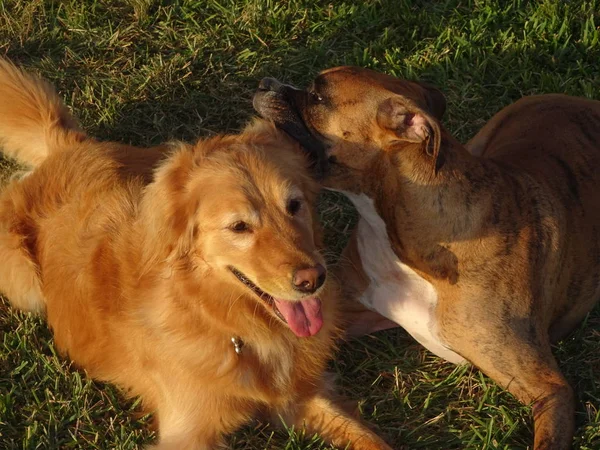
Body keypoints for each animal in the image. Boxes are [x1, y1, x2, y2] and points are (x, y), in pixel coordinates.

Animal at [0, 59, 392, 450]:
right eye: (239, 227)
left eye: (294, 205)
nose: (313, 280)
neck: (226, 322)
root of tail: (66, 148)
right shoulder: (188, 431)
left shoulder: (300, 395)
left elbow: (372, 439)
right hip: (25, 285)